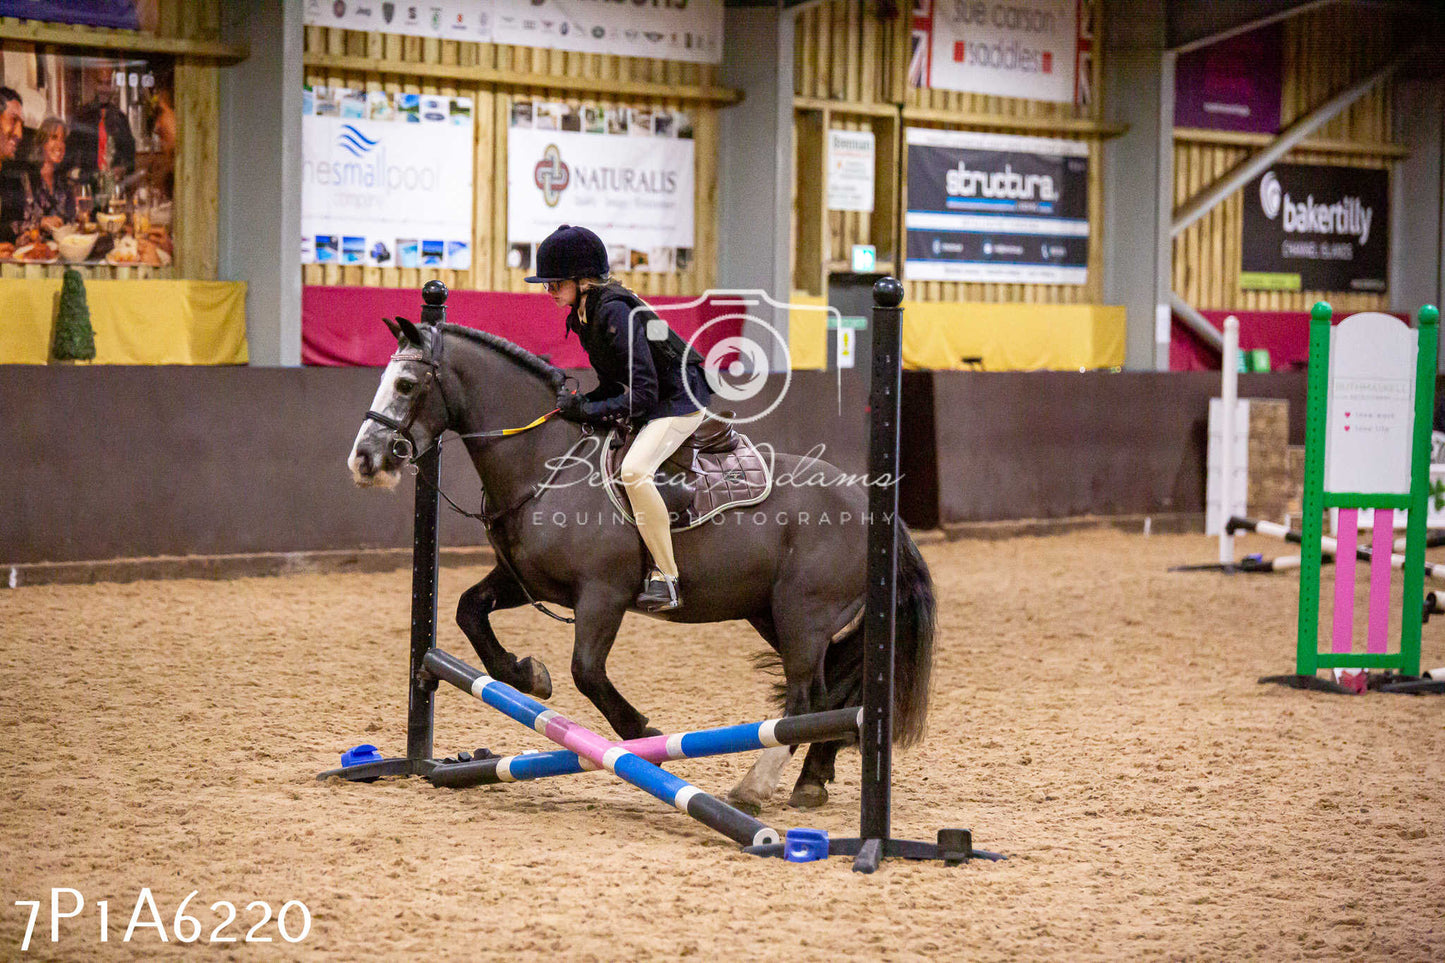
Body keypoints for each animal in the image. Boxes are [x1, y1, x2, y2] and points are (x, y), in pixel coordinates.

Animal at [349, 302, 936, 809]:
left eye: (405, 384)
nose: (364, 459)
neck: (545, 465)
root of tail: (871, 505)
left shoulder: (602, 596)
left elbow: (587, 671)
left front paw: (642, 734)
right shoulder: (526, 581)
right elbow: (468, 611)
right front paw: (526, 673)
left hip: (804, 616)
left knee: (807, 696)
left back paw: (755, 785)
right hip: (773, 614)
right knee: (832, 691)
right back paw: (811, 779)